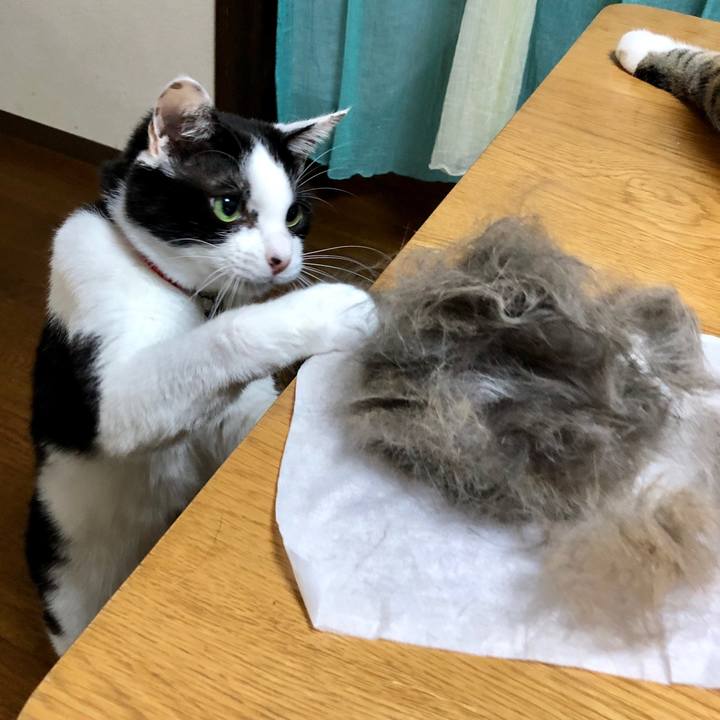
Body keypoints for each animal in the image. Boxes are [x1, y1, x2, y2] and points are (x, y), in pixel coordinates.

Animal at [26, 76, 377, 656]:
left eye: (294, 215)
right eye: (228, 206)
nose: (283, 259)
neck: (178, 290)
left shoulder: (235, 414)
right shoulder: (111, 399)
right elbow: (215, 342)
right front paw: (329, 308)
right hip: (67, 569)